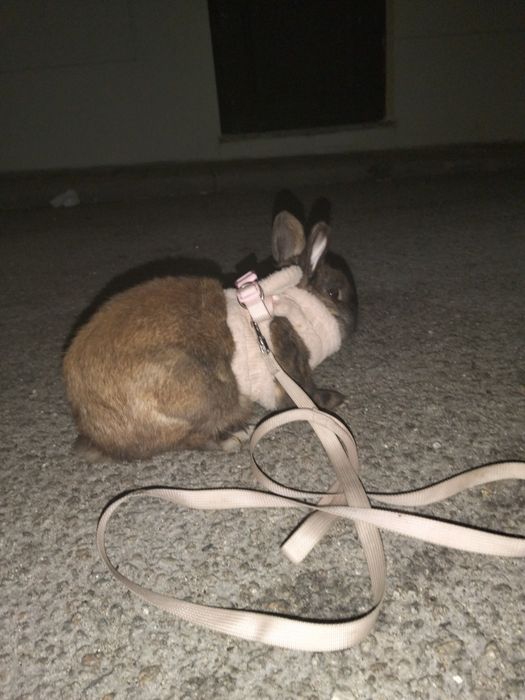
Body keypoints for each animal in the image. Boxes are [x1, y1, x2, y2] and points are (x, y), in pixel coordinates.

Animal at [62, 209, 357, 461]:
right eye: (334, 292)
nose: (355, 321)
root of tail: (97, 433)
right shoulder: (290, 368)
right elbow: (305, 395)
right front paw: (334, 401)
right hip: (200, 393)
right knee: (188, 439)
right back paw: (232, 438)